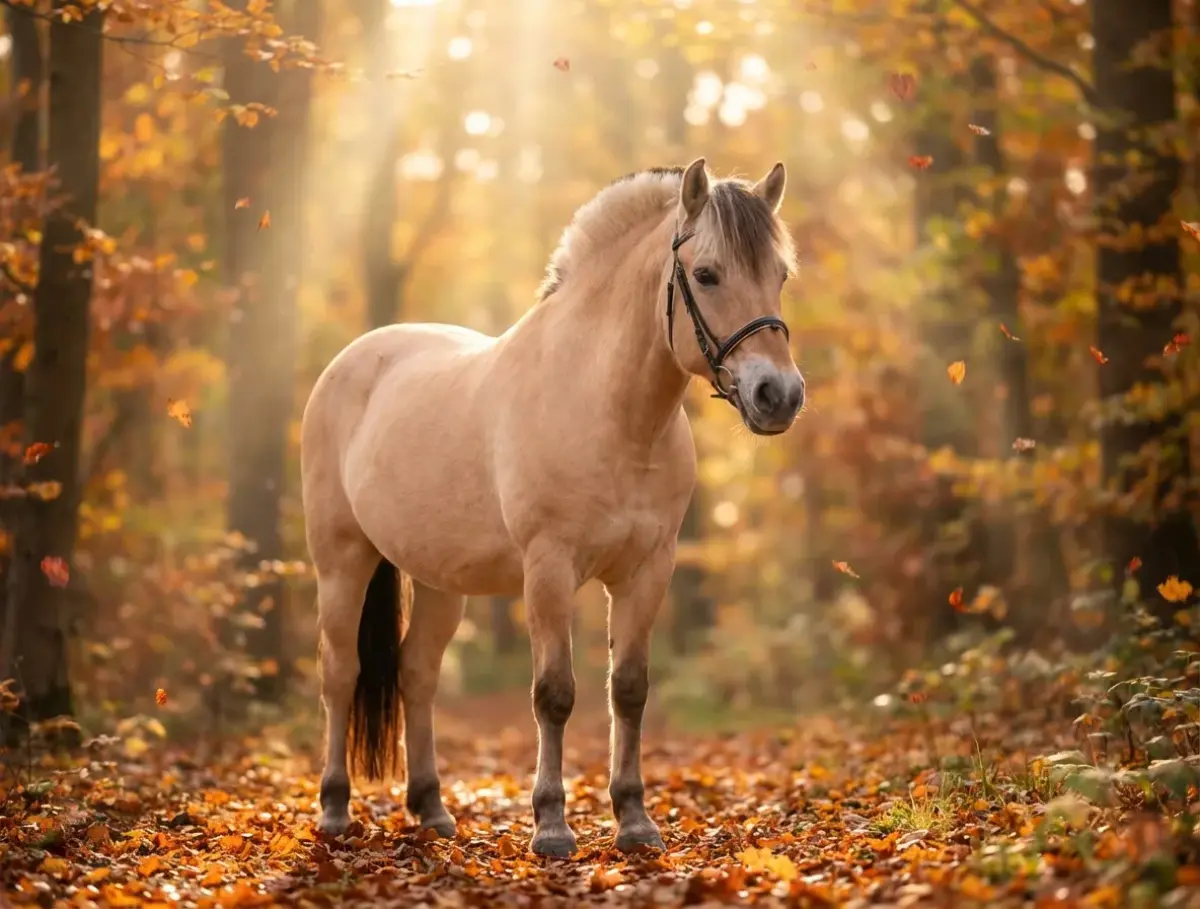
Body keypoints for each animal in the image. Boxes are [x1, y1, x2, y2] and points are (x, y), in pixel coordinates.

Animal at [300, 157, 805, 857]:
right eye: (706, 274)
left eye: (779, 275)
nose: (778, 395)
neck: (608, 409)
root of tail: (350, 362)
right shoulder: (549, 569)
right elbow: (554, 694)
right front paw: (551, 826)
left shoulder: (648, 570)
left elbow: (630, 689)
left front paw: (634, 820)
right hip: (342, 562)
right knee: (340, 674)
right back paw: (334, 809)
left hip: (439, 582)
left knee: (416, 673)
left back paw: (431, 809)